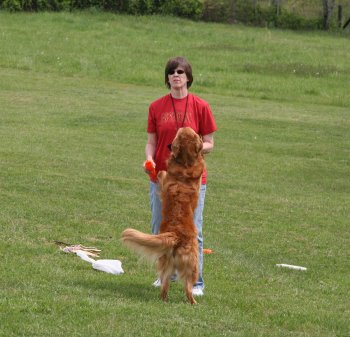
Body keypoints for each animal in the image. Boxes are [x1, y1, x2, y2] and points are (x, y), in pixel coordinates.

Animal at [122, 126, 205, 304]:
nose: (168, 146)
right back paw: (191, 303)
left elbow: (161, 173)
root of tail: (176, 235)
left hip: (173, 264)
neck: (186, 164)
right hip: (187, 266)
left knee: (169, 286)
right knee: (181, 288)